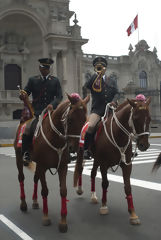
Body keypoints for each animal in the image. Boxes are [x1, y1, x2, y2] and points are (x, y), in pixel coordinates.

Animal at [13, 93, 89, 232]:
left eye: (84, 120)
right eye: (70, 119)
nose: (74, 148)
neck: (56, 138)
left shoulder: (62, 167)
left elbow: (63, 191)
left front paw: (63, 222)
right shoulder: (43, 166)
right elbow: (45, 191)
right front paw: (46, 217)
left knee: (35, 179)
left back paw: (35, 202)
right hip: (19, 159)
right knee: (21, 178)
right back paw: (24, 204)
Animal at [73, 96, 152, 225]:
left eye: (149, 118)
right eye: (135, 118)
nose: (144, 145)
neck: (118, 135)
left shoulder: (127, 165)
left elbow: (127, 187)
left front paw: (133, 214)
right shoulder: (104, 164)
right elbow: (105, 183)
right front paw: (104, 206)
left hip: (96, 159)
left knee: (92, 173)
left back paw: (93, 196)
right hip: (83, 154)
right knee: (80, 168)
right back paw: (80, 190)